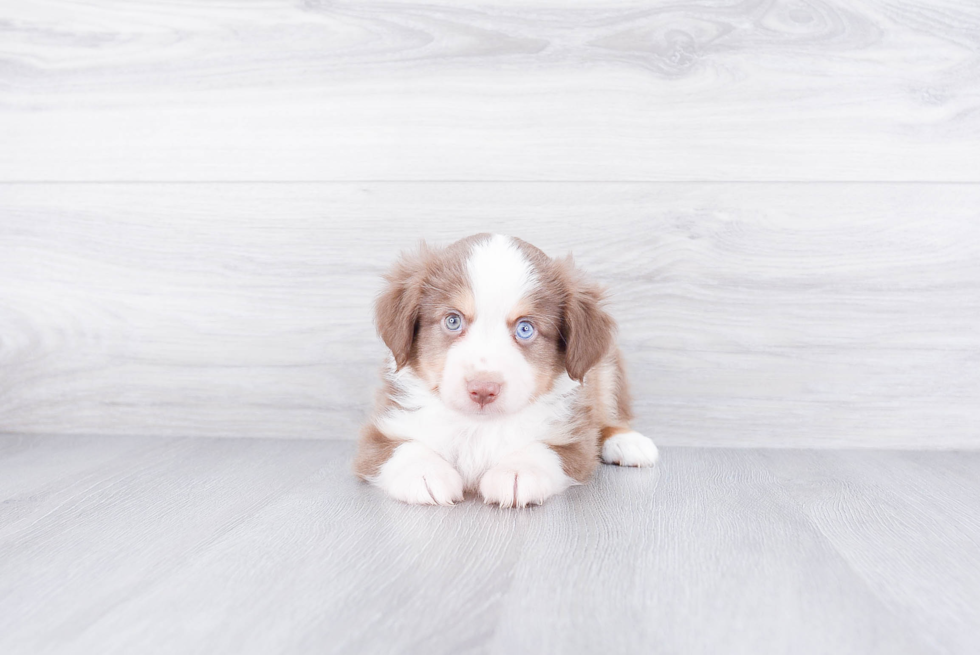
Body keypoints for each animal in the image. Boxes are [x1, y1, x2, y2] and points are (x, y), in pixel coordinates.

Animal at [352, 233, 660, 510]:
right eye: (453, 320)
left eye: (525, 328)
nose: (483, 389)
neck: (479, 426)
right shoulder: (379, 431)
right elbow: (401, 448)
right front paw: (426, 471)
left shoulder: (575, 439)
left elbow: (545, 449)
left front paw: (518, 471)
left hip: (606, 368)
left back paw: (626, 441)